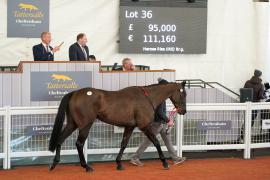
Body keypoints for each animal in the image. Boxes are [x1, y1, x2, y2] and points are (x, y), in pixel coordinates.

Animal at [48, 81, 187, 172]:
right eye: (183, 94)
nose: (183, 111)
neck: (147, 98)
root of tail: (75, 93)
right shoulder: (144, 126)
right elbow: (156, 142)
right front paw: (165, 163)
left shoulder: (129, 127)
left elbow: (123, 144)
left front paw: (119, 164)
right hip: (85, 125)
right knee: (79, 144)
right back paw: (86, 166)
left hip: (72, 124)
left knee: (60, 139)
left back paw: (54, 164)